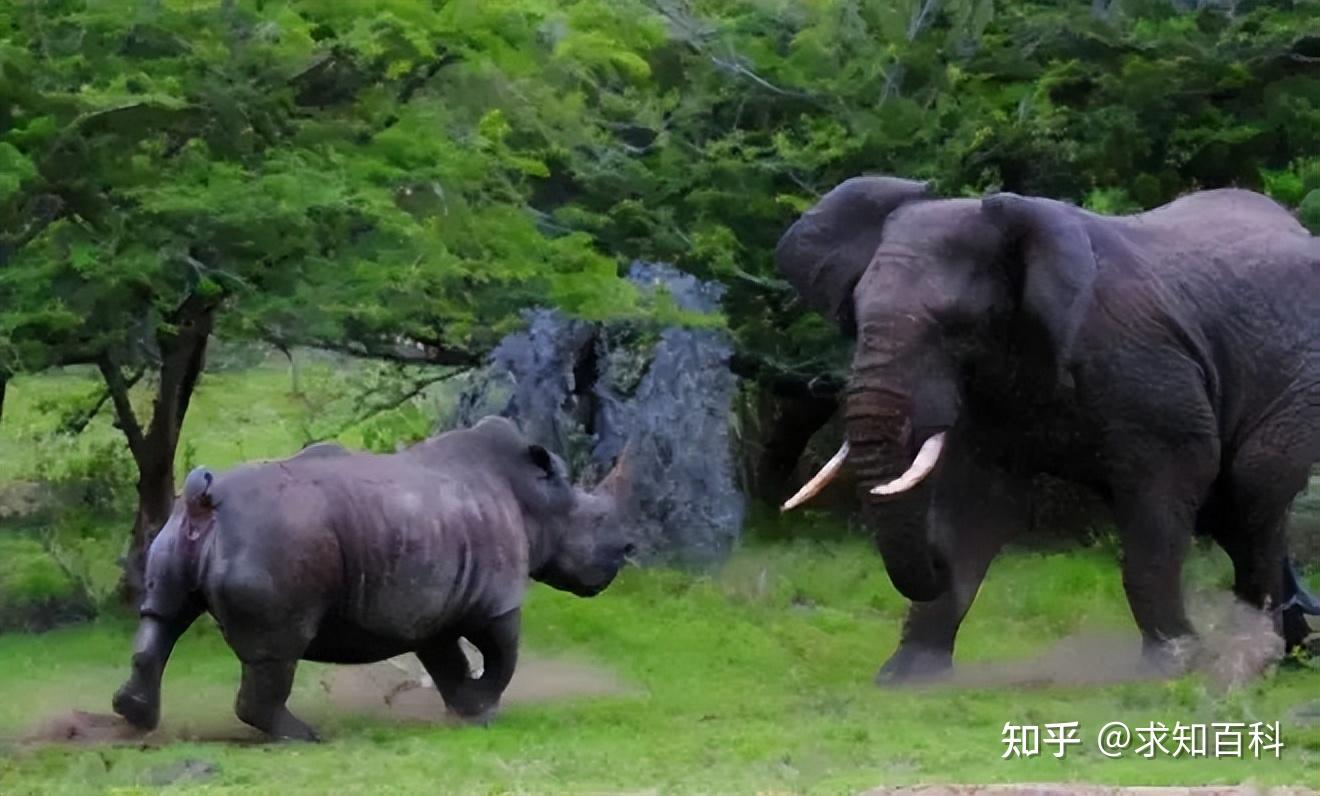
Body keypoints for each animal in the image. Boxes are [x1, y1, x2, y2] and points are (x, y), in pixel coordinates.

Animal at [110, 417, 636, 739]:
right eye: (596, 524)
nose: (626, 554)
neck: (537, 501)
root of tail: (205, 498)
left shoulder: (434, 602)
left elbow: (447, 660)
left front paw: (466, 709)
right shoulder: (496, 596)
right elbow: (503, 654)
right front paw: (484, 707)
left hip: (176, 535)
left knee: (164, 616)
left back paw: (135, 715)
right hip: (276, 540)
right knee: (278, 648)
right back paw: (304, 737)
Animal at [776, 176, 1314, 681]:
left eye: (955, 327)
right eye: (855, 314)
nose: (932, 563)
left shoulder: (1149, 373)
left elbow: (1169, 487)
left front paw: (1172, 667)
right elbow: (979, 505)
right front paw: (905, 676)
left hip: (1297, 383)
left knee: (1250, 499)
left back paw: (1256, 660)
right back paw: (1292, 655)